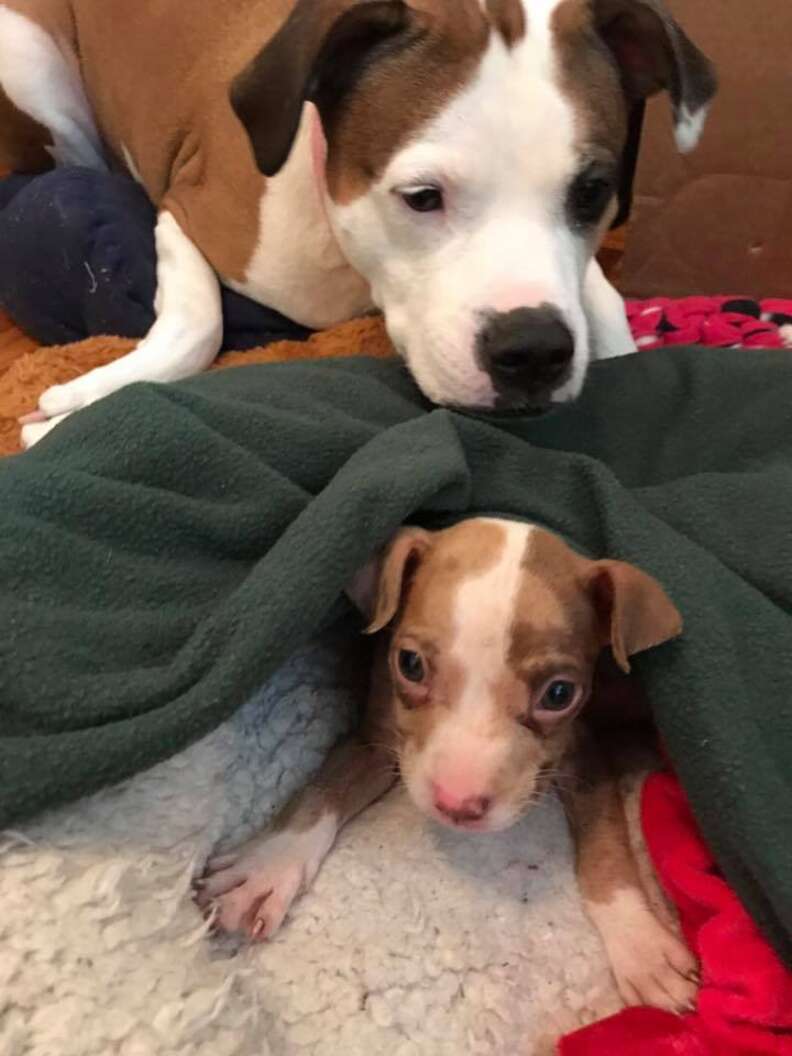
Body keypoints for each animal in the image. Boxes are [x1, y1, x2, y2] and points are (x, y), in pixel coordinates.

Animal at [0, 0, 718, 445]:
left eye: (592, 192)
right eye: (423, 197)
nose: (535, 350)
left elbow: (609, 314)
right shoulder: (188, 212)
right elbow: (198, 325)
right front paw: (84, 405)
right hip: (27, 59)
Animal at [197, 519, 701, 1013]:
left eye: (559, 693)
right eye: (410, 664)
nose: (456, 804)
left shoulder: (583, 751)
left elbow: (606, 841)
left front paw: (639, 942)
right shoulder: (377, 741)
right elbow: (322, 789)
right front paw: (266, 867)